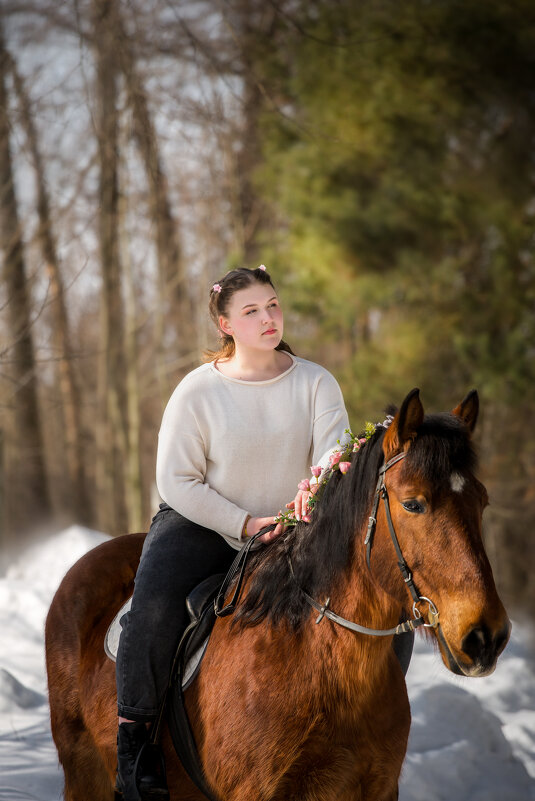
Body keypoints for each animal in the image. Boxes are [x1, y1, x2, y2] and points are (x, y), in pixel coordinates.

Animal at [45, 390, 510, 800]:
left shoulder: (376, 788)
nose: (486, 636)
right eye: (413, 504)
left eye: (483, 501)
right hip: (85, 775)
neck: (316, 657)